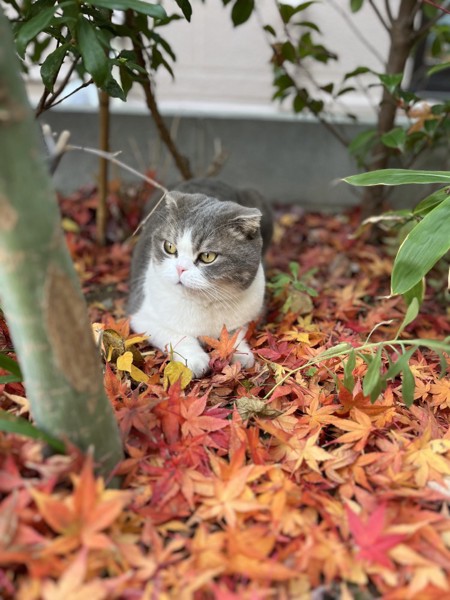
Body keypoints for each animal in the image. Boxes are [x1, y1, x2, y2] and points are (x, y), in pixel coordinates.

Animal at [128, 176, 272, 378]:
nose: (180, 268)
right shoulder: (141, 315)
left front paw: (241, 355)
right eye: (169, 247)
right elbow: (175, 334)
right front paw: (195, 360)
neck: (204, 303)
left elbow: (235, 333)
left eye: (207, 256)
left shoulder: (250, 313)